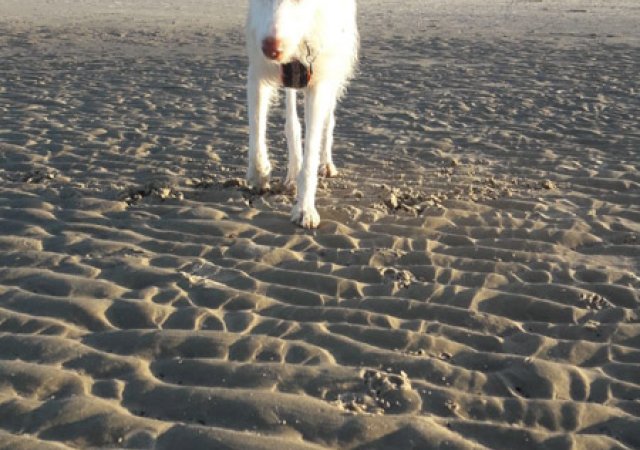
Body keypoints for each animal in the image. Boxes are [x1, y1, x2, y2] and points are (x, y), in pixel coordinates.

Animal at [245, 0, 358, 229]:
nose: (271, 50)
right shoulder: (258, 72)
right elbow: (256, 127)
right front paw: (259, 174)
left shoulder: (319, 80)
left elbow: (312, 149)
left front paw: (305, 209)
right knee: (291, 122)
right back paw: (292, 172)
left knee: (328, 121)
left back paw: (326, 164)